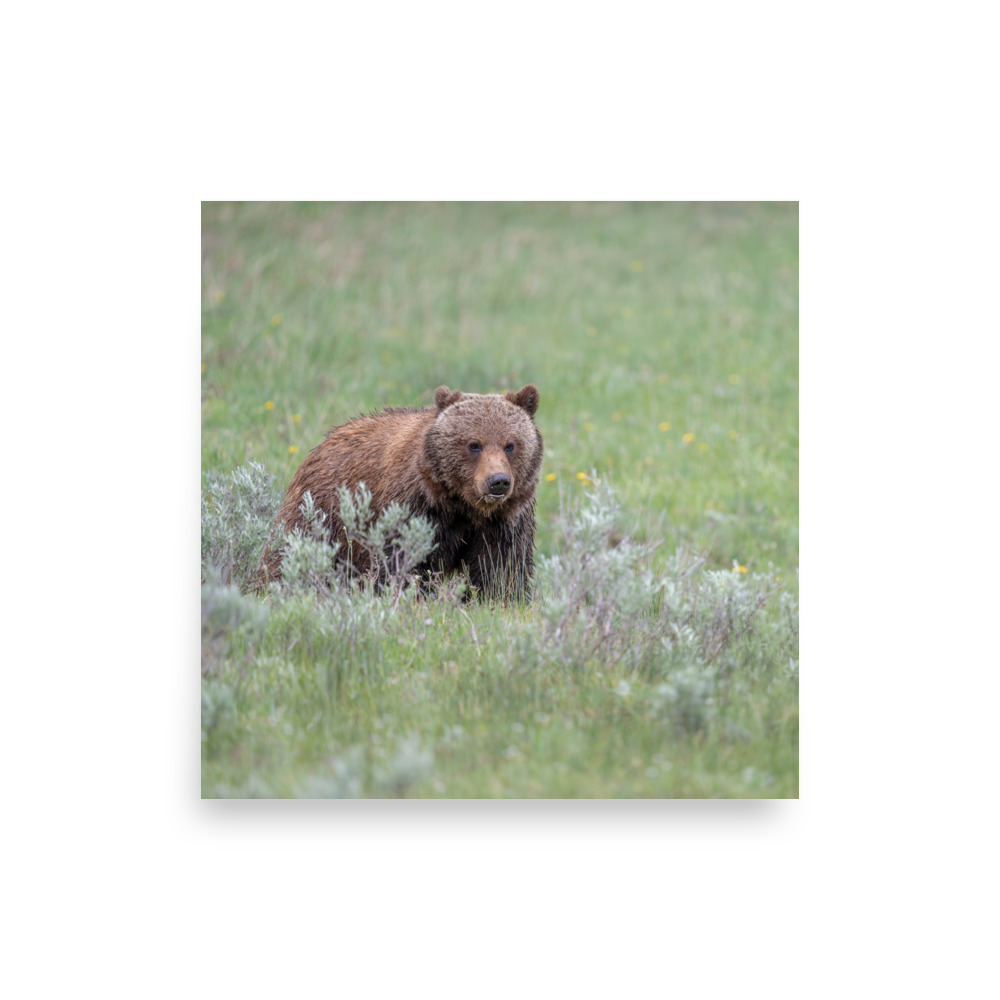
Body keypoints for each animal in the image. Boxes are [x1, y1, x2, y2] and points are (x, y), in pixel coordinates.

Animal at [260, 384, 543, 601]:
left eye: (510, 444)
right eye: (474, 445)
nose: (498, 482)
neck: (461, 504)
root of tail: (322, 442)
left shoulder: (504, 520)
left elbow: (500, 568)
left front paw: (498, 599)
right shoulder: (415, 507)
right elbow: (402, 561)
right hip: (321, 511)